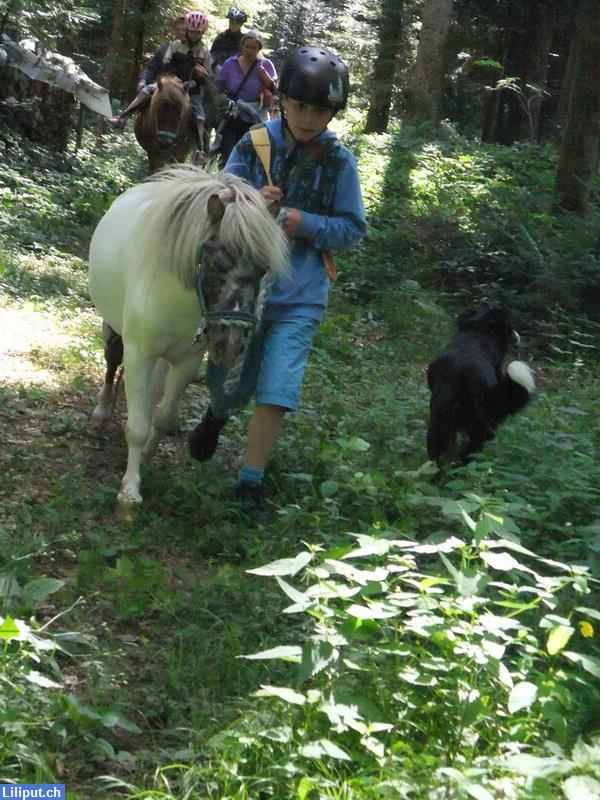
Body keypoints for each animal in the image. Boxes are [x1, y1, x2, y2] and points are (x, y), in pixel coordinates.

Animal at [86, 166, 288, 506]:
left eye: (263, 269)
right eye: (215, 259)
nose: (231, 345)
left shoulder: (187, 360)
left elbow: (164, 417)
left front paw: (145, 460)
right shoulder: (139, 353)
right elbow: (136, 426)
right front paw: (129, 493)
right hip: (115, 329)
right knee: (112, 361)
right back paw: (101, 410)